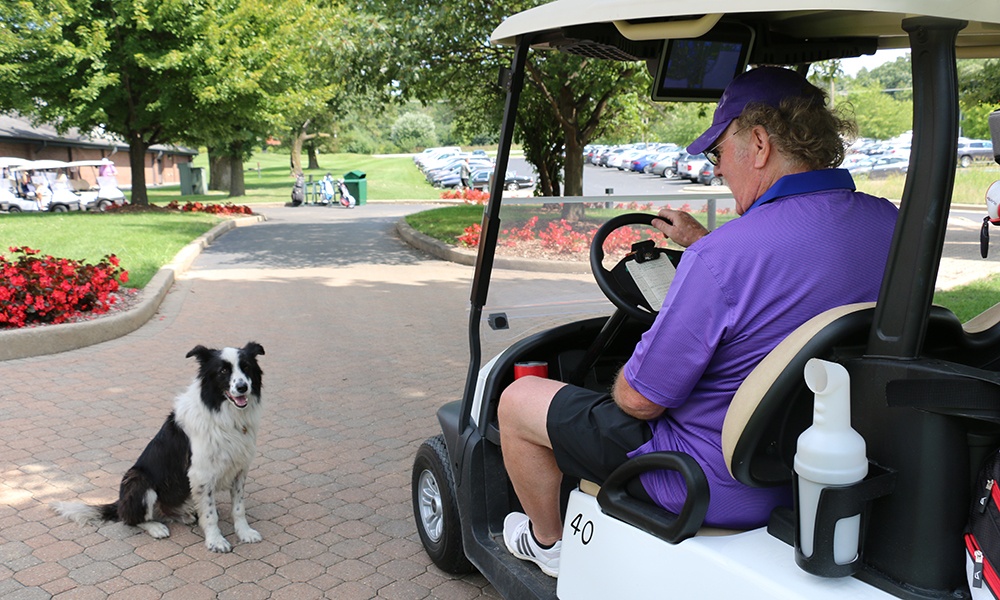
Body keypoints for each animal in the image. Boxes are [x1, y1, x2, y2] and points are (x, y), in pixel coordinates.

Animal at [53, 342, 266, 552]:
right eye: (223, 371)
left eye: (246, 367)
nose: (242, 387)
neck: (224, 414)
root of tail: (120, 502)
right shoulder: (201, 474)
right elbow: (210, 514)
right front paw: (215, 540)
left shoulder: (239, 469)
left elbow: (238, 508)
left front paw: (244, 532)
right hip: (139, 481)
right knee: (131, 519)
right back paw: (156, 527)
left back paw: (184, 515)